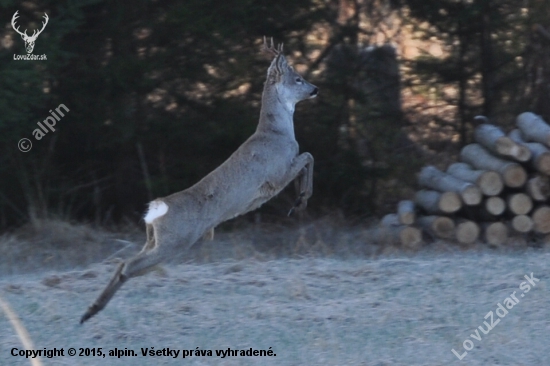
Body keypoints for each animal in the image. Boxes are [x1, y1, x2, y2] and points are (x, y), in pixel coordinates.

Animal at [78, 37, 320, 324]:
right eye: (298, 79)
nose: (315, 89)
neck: (277, 133)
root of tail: (156, 207)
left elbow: (307, 159)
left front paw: (299, 200)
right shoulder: (277, 172)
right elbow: (308, 156)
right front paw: (301, 200)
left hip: (154, 239)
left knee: (125, 264)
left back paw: (89, 312)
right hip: (176, 240)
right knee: (127, 264)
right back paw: (90, 311)